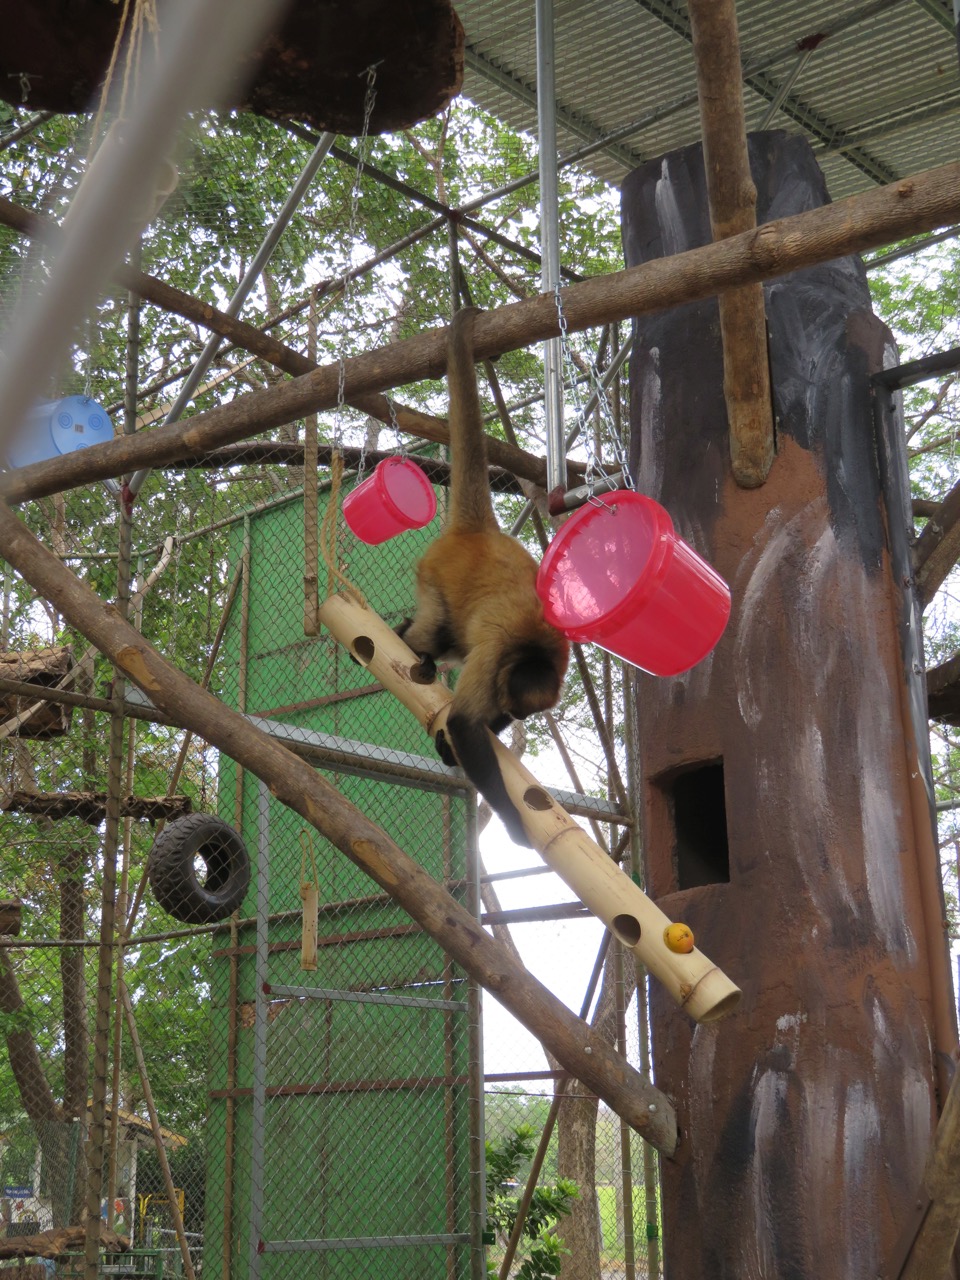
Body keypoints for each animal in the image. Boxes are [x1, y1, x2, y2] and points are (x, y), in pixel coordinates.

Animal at [399, 303, 570, 844]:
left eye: (521, 713)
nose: (511, 716)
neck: (533, 649)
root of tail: (478, 531)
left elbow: (470, 727)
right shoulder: (497, 653)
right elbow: (465, 722)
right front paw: (517, 825)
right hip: (434, 577)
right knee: (433, 632)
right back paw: (407, 640)